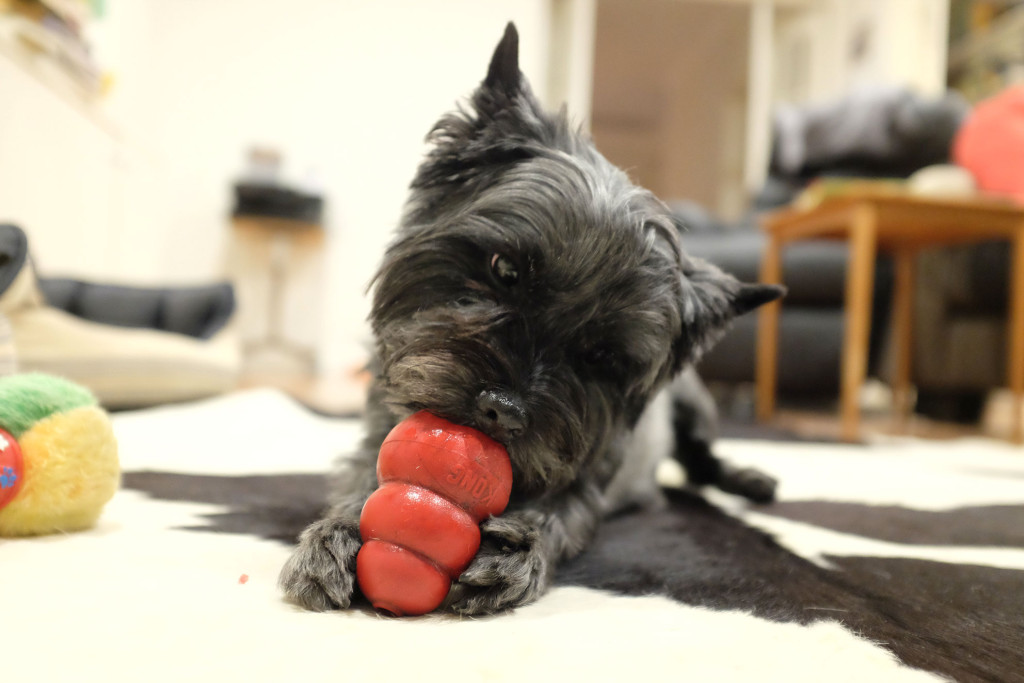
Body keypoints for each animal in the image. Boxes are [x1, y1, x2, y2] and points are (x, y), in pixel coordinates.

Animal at [280, 24, 782, 618]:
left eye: (602, 355)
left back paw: (750, 480)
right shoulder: (375, 437)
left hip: (695, 408)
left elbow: (556, 511)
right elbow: (362, 476)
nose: (503, 410)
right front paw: (338, 532)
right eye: (504, 269)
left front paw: (513, 551)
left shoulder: (583, 482)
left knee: (704, 461)